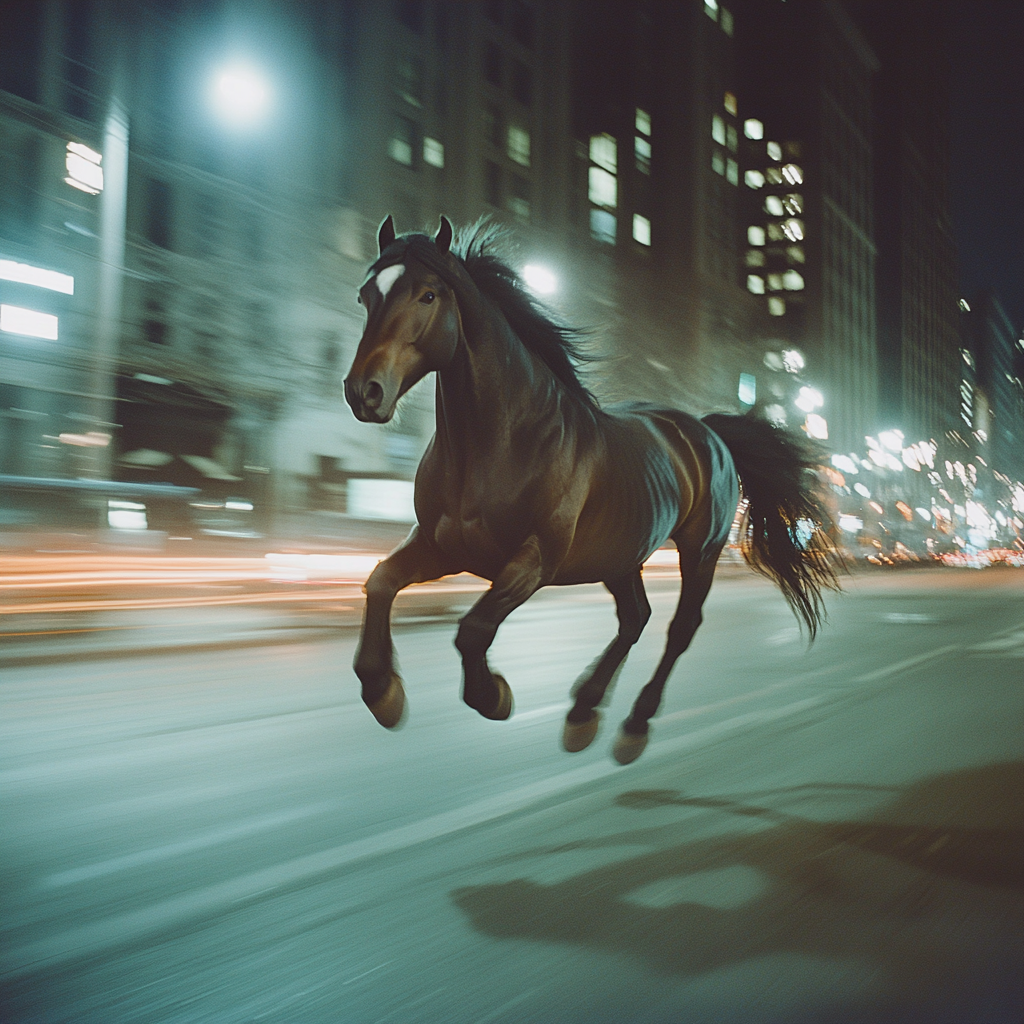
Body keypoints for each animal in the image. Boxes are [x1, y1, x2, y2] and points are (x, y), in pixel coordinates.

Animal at [344, 216, 839, 761]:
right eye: (366, 294)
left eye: (428, 295)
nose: (364, 391)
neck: (500, 443)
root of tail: (707, 432)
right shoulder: (441, 548)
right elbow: (379, 583)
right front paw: (381, 690)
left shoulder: (534, 560)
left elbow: (472, 631)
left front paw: (493, 695)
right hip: (621, 555)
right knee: (635, 618)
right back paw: (583, 711)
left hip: (700, 551)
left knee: (678, 629)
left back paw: (634, 724)